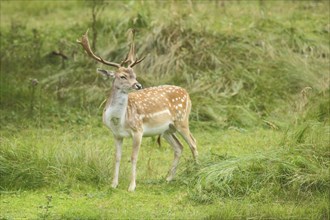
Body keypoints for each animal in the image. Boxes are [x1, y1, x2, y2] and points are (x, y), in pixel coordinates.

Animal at [76, 29, 197, 191]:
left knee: (193, 143)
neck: (119, 120)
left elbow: (133, 157)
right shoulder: (116, 135)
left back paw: (197, 172)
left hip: (182, 120)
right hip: (166, 129)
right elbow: (117, 157)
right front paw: (113, 184)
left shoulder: (138, 130)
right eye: (122, 76)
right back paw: (168, 178)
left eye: (134, 75)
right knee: (179, 147)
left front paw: (132, 186)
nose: (138, 85)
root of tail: (187, 93)